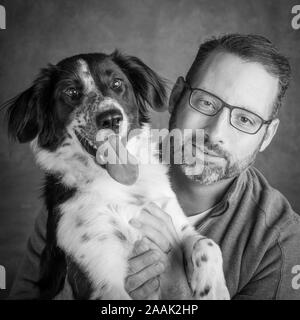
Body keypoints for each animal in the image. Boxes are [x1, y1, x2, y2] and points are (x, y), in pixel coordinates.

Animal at [4, 50, 230, 300]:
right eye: (71, 92)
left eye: (117, 83)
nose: (111, 118)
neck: (122, 187)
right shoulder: (102, 278)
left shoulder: (177, 224)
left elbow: (207, 244)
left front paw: (214, 289)